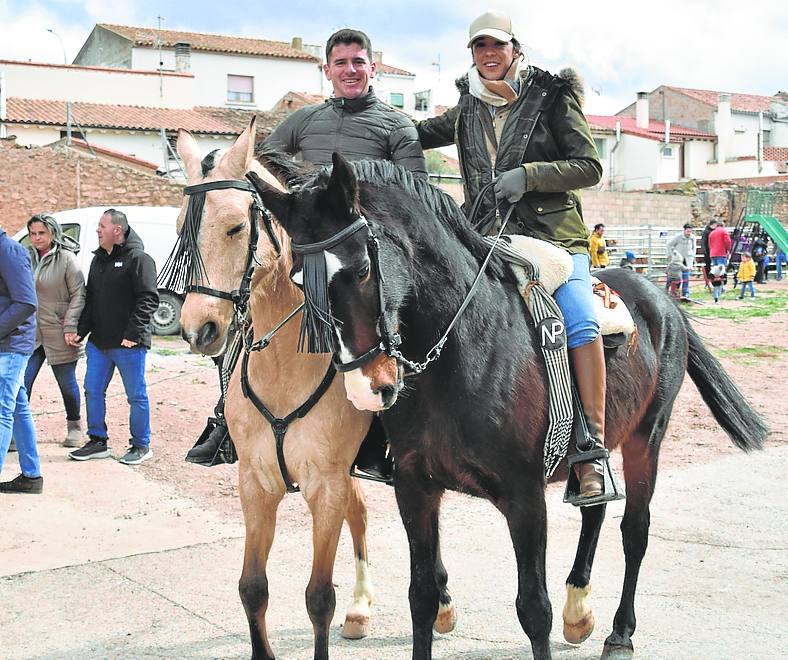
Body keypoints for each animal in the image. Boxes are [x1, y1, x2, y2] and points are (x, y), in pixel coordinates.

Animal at [172, 120, 456, 660]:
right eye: (181, 228)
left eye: (236, 227)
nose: (200, 330)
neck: (284, 371)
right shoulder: (256, 484)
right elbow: (252, 588)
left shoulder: (324, 483)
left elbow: (319, 596)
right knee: (360, 511)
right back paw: (365, 607)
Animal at [249, 153, 768, 660]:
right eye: (298, 280)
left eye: (360, 269)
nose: (364, 388)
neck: (459, 349)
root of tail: (663, 300)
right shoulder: (415, 489)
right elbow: (423, 598)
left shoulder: (525, 497)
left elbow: (533, 608)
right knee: (595, 509)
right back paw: (579, 609)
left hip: (647, 440)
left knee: (634, 531)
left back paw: (620, 633)